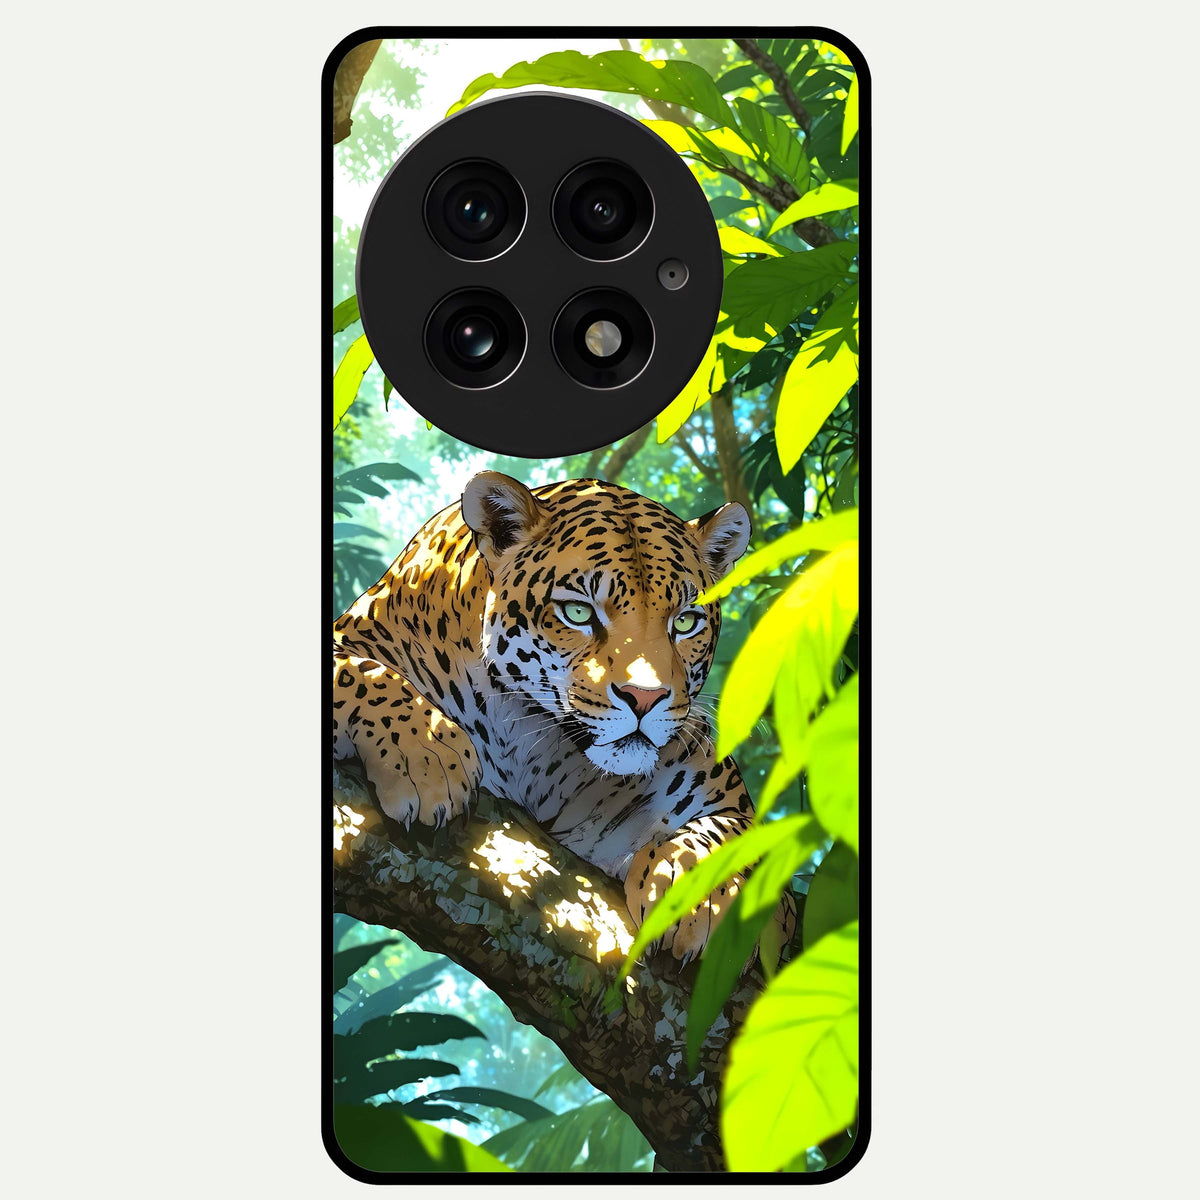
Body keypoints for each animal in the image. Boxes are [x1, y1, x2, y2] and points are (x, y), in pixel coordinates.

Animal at [333, 472, 795, 964]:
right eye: (578, 612)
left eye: (686, 622)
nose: (644, 698)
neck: (529, 741)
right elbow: (359, 672)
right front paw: (427, 755)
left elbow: (740, 834)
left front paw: (697, 893)